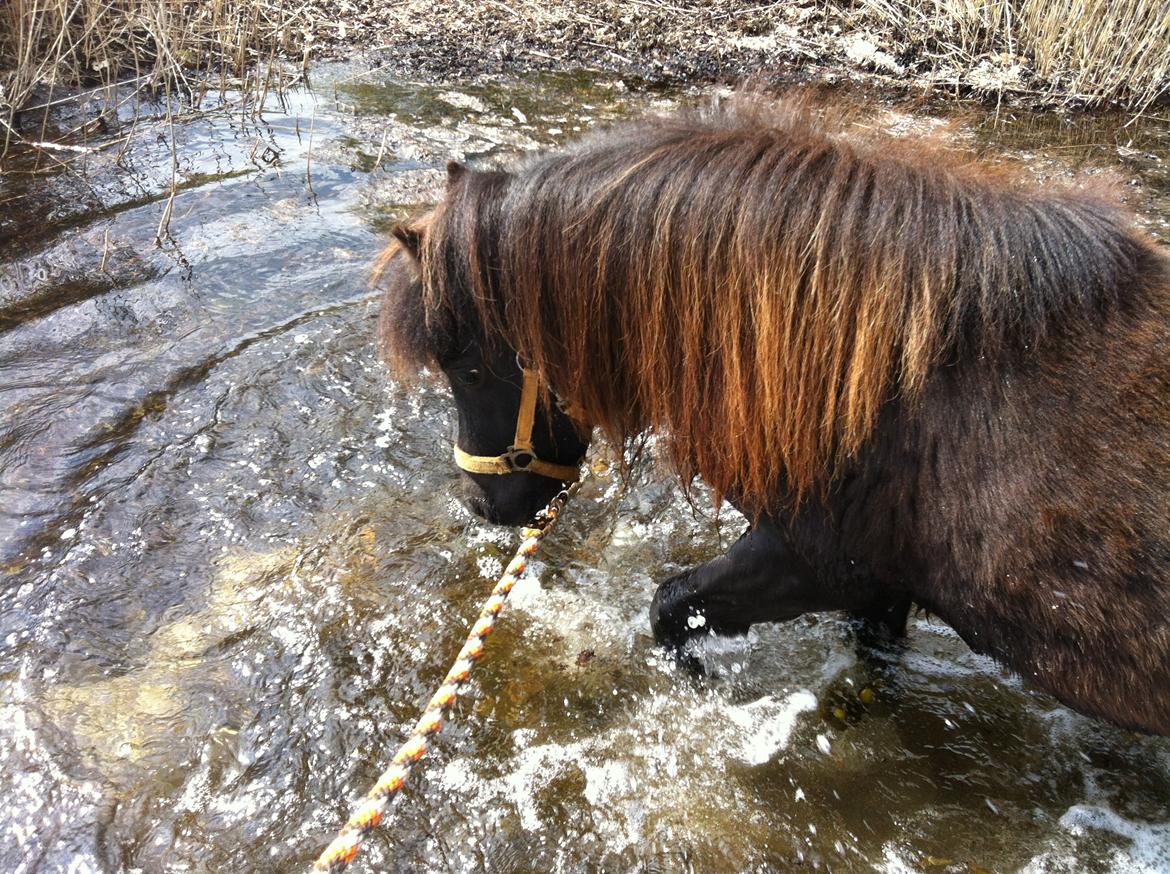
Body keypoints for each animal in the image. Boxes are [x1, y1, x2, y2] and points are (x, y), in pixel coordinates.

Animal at [374, 97, 1170, 739]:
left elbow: (669, 606)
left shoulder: (808, 565)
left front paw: (702, 691)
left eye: (468, 367)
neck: (874, 371)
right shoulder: (878, 591)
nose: (481, 503)